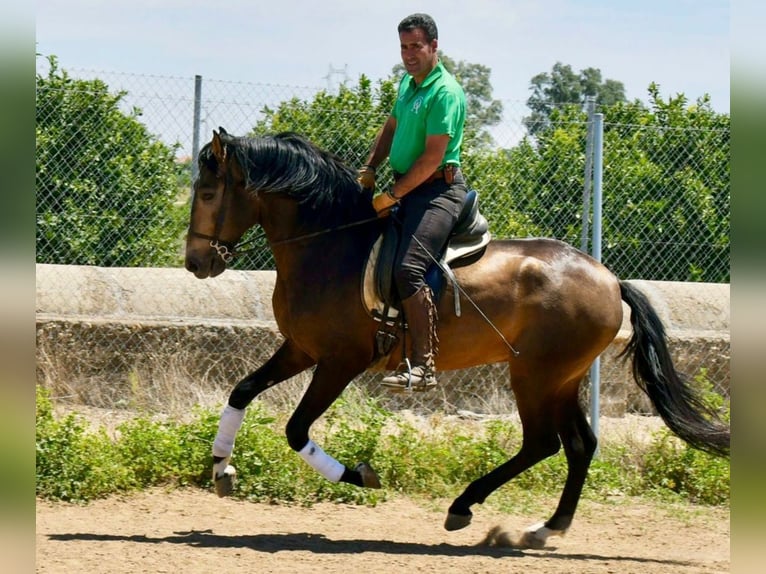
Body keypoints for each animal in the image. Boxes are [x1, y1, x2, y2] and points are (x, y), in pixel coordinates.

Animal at [183, 128, 728, 552]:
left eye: (208, 194)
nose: (195, 263)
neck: (331, 245)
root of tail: (611, 279)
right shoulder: (301, 349)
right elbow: (242, 391)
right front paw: (222, 468)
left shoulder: (341, 361)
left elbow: (296, 430)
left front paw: (359, 475)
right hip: (561, 377)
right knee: (579, 445)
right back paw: (544, 529)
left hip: (535, 373)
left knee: (543, 443)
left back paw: (465, 507)